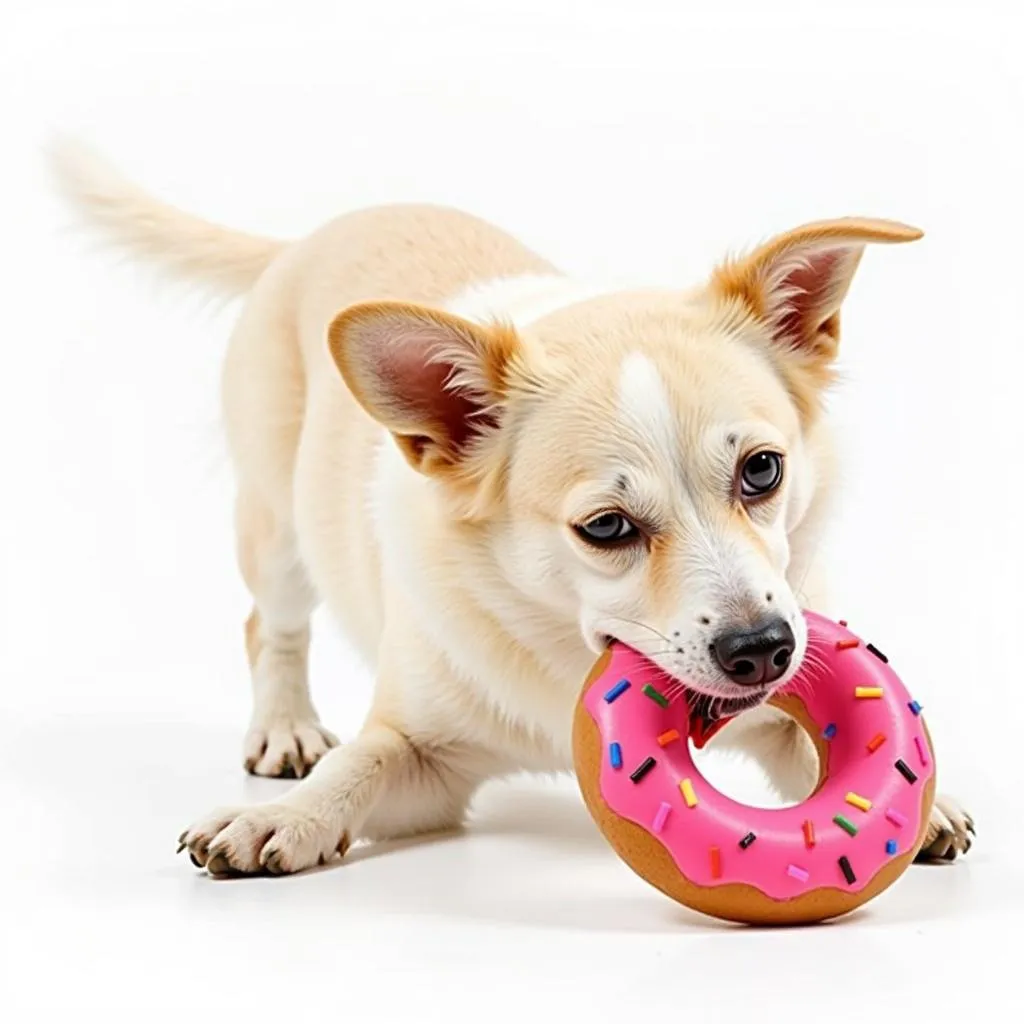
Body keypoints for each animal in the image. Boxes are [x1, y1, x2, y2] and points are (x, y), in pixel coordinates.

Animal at [49, 140, 974, 876]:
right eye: (606, 528)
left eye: (763, 472)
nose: (764, 649)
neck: (563, 651)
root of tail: (306, 240)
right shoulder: (419, 758)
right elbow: (356, 767)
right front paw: (279, 816)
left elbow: (825, 760)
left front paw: (925, 803)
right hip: (277, 531)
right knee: (268, 626)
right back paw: (285, 732)